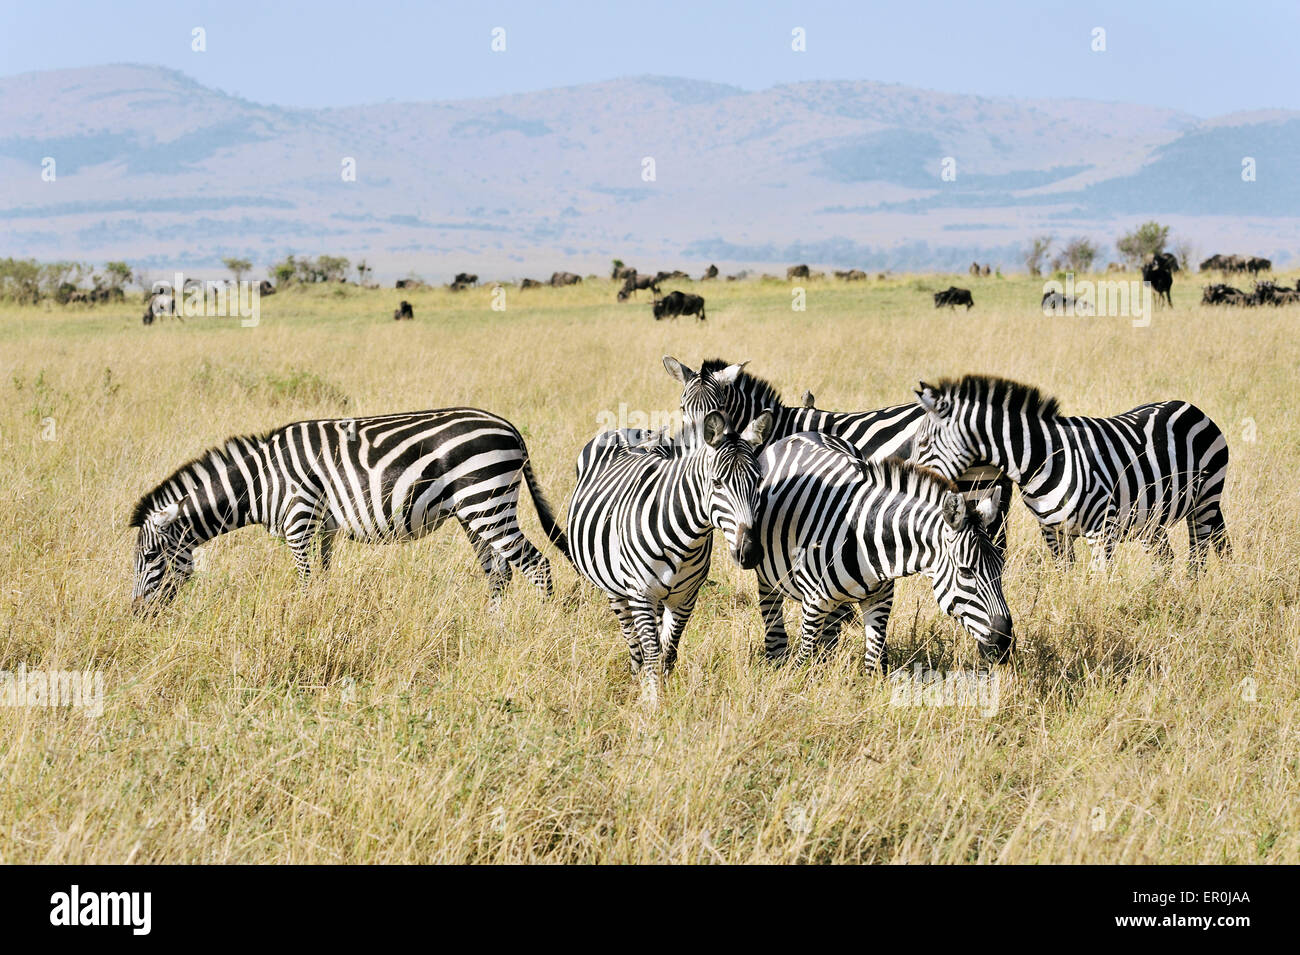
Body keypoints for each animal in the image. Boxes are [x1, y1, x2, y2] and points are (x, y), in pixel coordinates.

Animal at [130, 407, 569, 615]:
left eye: (150, 557)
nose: (136, 615)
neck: (260, 482)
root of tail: (510, 428)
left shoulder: (299, 521)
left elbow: (306, 583)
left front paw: (304, 622)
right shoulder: (322, 527)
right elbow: (323, 579)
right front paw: (321, 619)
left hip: (487, 500)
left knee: (536, 565)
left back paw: (539, 627)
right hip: (474, 510)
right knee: (500, 572)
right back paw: (493, 628)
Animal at [569, 407, 769, 706]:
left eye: (758, 481)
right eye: (717, 483)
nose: (750, 552)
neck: (685, 541)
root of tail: (625, 430)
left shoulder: (686, 598)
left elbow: (669, 648)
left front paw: (667, 690)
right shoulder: (641, 594)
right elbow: (652, 650)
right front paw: (653, 702)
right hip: (615, 589)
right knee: (632, 639)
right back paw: (636, 674)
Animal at [754, 433, 1013, 670]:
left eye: (1001, 567)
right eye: (966, 571)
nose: (1004, 644)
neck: (863, 535)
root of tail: (801, 434)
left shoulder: (880, 601)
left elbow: (875, 663)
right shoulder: (813, 602)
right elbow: (803, 660)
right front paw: (800, 681)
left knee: (830, 635)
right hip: (768, 579)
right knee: (772, 618)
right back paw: (776, 661)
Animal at [909, 374, 1232, 571]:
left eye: (923, 443)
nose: (909, 477)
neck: (1043, 460)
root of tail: (1189, 405)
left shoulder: (1101, 530)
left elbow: (1103, 582)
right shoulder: (1054, 533)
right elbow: (1066, 575)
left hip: (1205, 499)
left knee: (1201, 553)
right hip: (1153, 517)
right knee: (1165, 558)